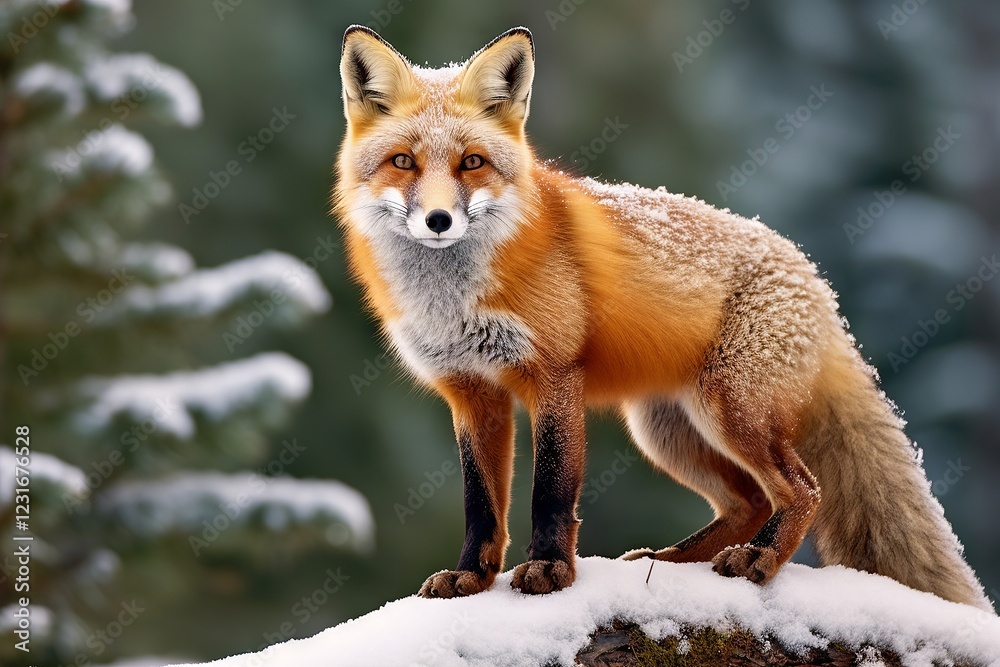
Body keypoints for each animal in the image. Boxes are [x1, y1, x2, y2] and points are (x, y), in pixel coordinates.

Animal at [334, 25, 993, 611]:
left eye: (471, 162)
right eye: (402, 161)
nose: (439, 220)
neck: (453, 298)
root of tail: (815, 279)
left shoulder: (554, 377)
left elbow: (552, 492)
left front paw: (550, 571)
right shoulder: (472, 393)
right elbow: (480, 506)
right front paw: (472, 577)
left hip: (732, 411)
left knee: (803, 490)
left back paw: (759, 560)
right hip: (668, 431)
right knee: (747, 503)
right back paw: (670, 561)